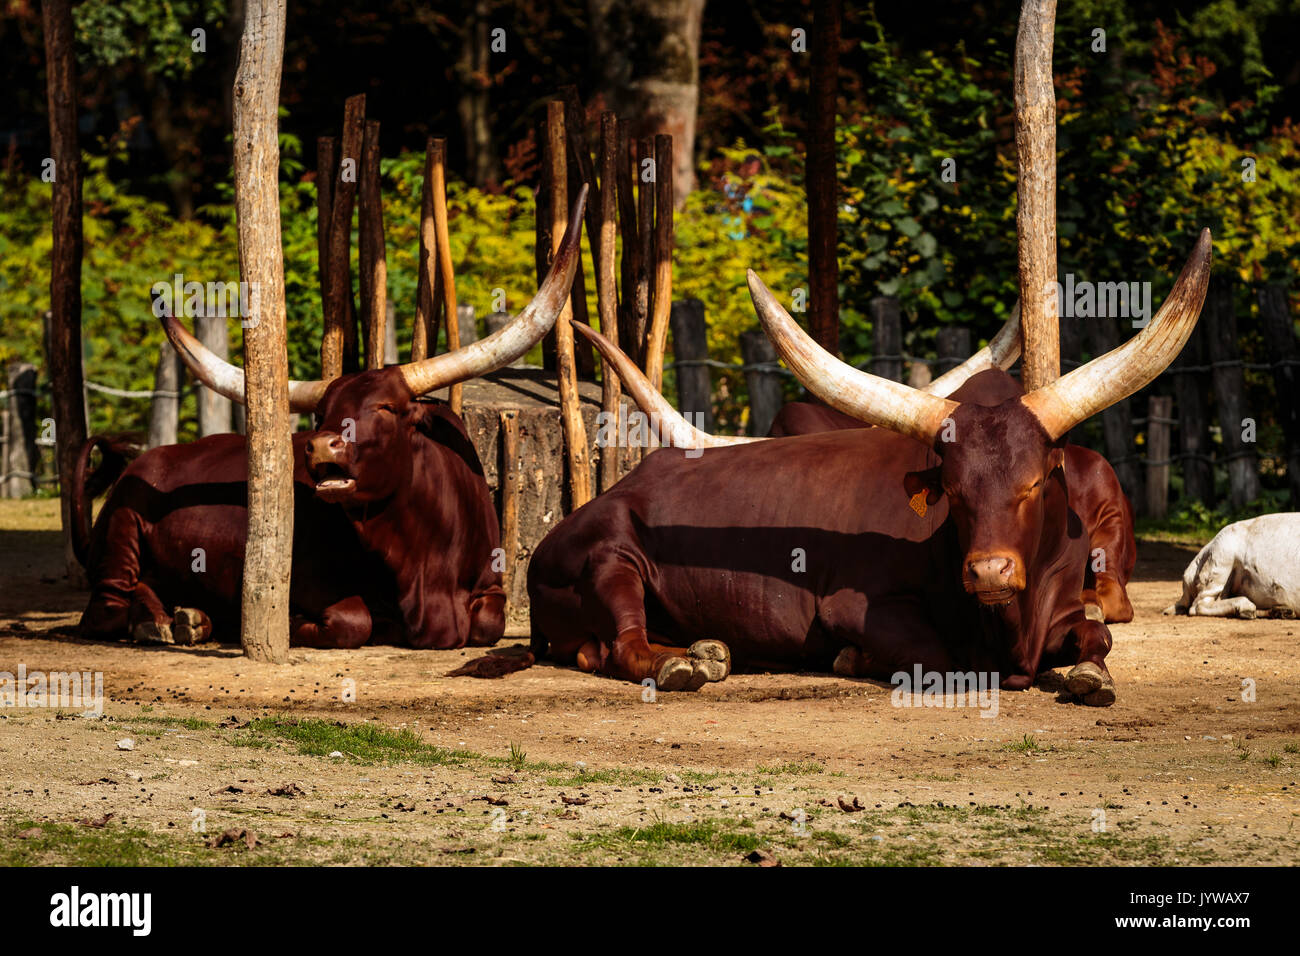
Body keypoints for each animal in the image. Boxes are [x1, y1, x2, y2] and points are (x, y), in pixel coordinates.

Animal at [74, 188, 585, 650]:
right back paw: (158, 621)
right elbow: (353, 621)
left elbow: (488, 624)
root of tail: (148, 459)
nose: (322, 445)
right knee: (107, 607)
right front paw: (293, 624)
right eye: (322, 412)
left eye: (387, 407)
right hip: (122, 531)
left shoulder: (490, 588)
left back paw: (192, 618)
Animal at [522, 231, 1211, 702]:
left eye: (1036, 483)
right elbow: (944, 660)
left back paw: (707, 649)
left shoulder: (1069, 604)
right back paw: (680, 663)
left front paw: (1092, 675)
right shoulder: (858, 608)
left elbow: (1100, 636)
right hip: (610, 560)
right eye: (952, 490)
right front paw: (853, 660)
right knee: (621, 643)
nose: (988, 571)